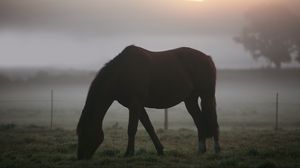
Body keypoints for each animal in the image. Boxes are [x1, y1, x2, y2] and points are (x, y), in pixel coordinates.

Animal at [75, 45, 220, 159]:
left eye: (84, 132)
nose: (80, 156)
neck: (122, 72)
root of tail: (208, 58)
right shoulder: (136, 106)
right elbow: (148, 127)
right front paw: (160, 150)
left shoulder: (135, 104)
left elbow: (132, 129)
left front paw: (128, 153)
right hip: (190, 100)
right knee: (199, 121)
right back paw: (201, 150)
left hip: (207, 96)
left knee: (213, 120)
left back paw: (217, 151)